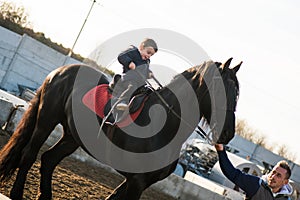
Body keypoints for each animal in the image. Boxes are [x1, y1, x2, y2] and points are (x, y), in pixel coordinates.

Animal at [0, 57, 240, 199]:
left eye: (237, 93)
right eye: (219, 89)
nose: (227, 133)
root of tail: (61, 71)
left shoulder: (138, 181)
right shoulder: (137, 182)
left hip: (72, 137)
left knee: (49, 159)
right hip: (46, 121)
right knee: (29, 154)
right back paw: (16, 192)